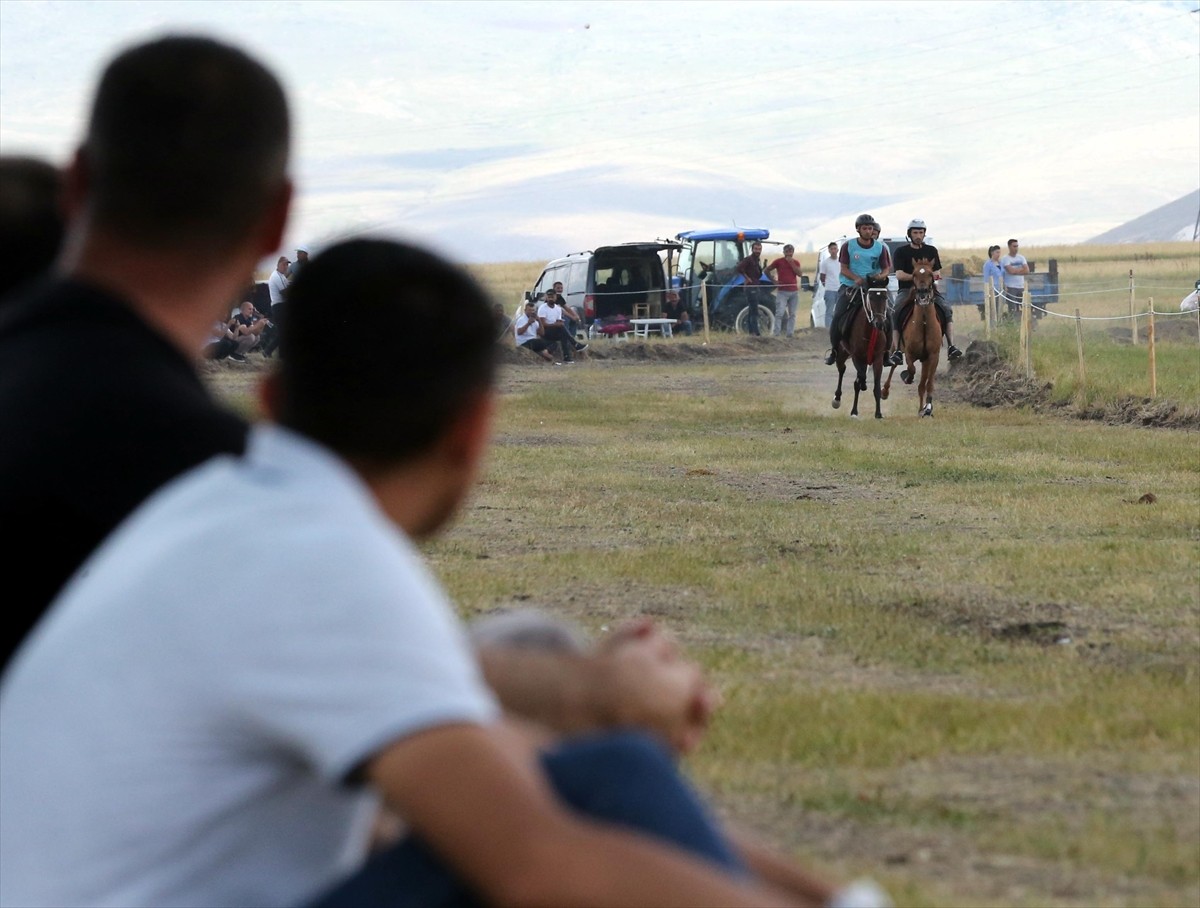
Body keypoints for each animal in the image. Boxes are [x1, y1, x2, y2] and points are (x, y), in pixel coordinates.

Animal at [835, 275, 892, 417]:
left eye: (885, 297)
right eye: (870, 297)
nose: (879, 323)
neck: (869, 331)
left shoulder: (878, 359)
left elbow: (876, 386)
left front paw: (878, 413)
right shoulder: (857, 357)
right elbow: (860, 379)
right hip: (841, 354)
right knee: (842, 369)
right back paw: (837, 399)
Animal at [888, 256, 940, 415]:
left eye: (930, 274)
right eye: (914, 274)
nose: (923, 292)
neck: (923, 323)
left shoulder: (932, 357)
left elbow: (928, 383)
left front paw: (928, 408)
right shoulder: (910, 353)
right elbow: (911, 369)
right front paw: (907, 377)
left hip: (925, 360)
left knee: (922, 385)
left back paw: (921, 409)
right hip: (895, 349)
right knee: (892, 366)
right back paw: (884, 391)